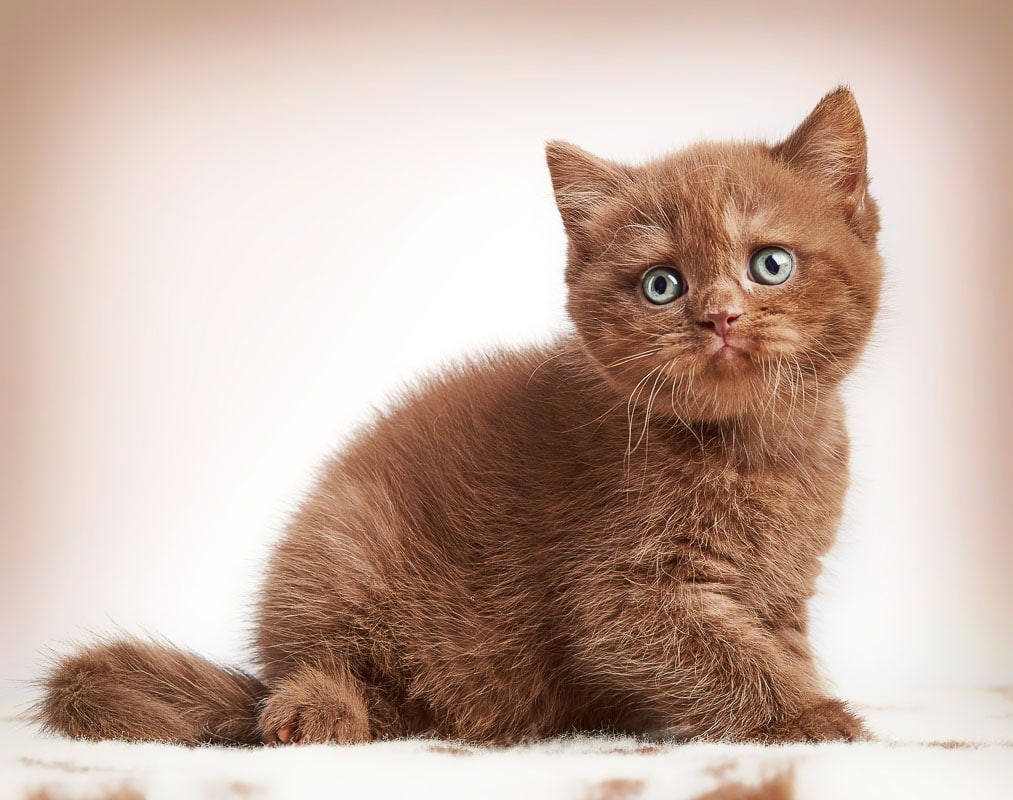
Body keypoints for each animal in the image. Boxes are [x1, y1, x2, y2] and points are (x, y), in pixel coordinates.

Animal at [35, 89, 883, 753]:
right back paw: (313, 710)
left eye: (769, 264)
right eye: (661, 284)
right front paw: (812, 717)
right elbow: (722, 655)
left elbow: (774, 647)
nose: (718, 317)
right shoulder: (622, 593)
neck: (760, 451)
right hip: (341, 541)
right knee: (316, 667)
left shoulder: (781, 592)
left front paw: (807, 696)